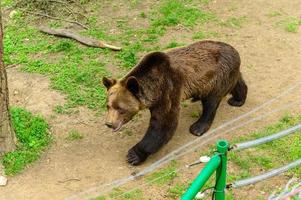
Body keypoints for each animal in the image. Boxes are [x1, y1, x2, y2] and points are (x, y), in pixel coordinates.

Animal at [101, 39, 246, 165]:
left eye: (121, 109)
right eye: (108, 106)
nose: (109, 124)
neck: (153, 88)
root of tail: (235, 51)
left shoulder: (168, 89)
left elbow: (163, 123)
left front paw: (133, 155)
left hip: (216, 78)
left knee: (211, 102)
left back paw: (198, 127)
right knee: (237, 81)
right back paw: (238, 99)